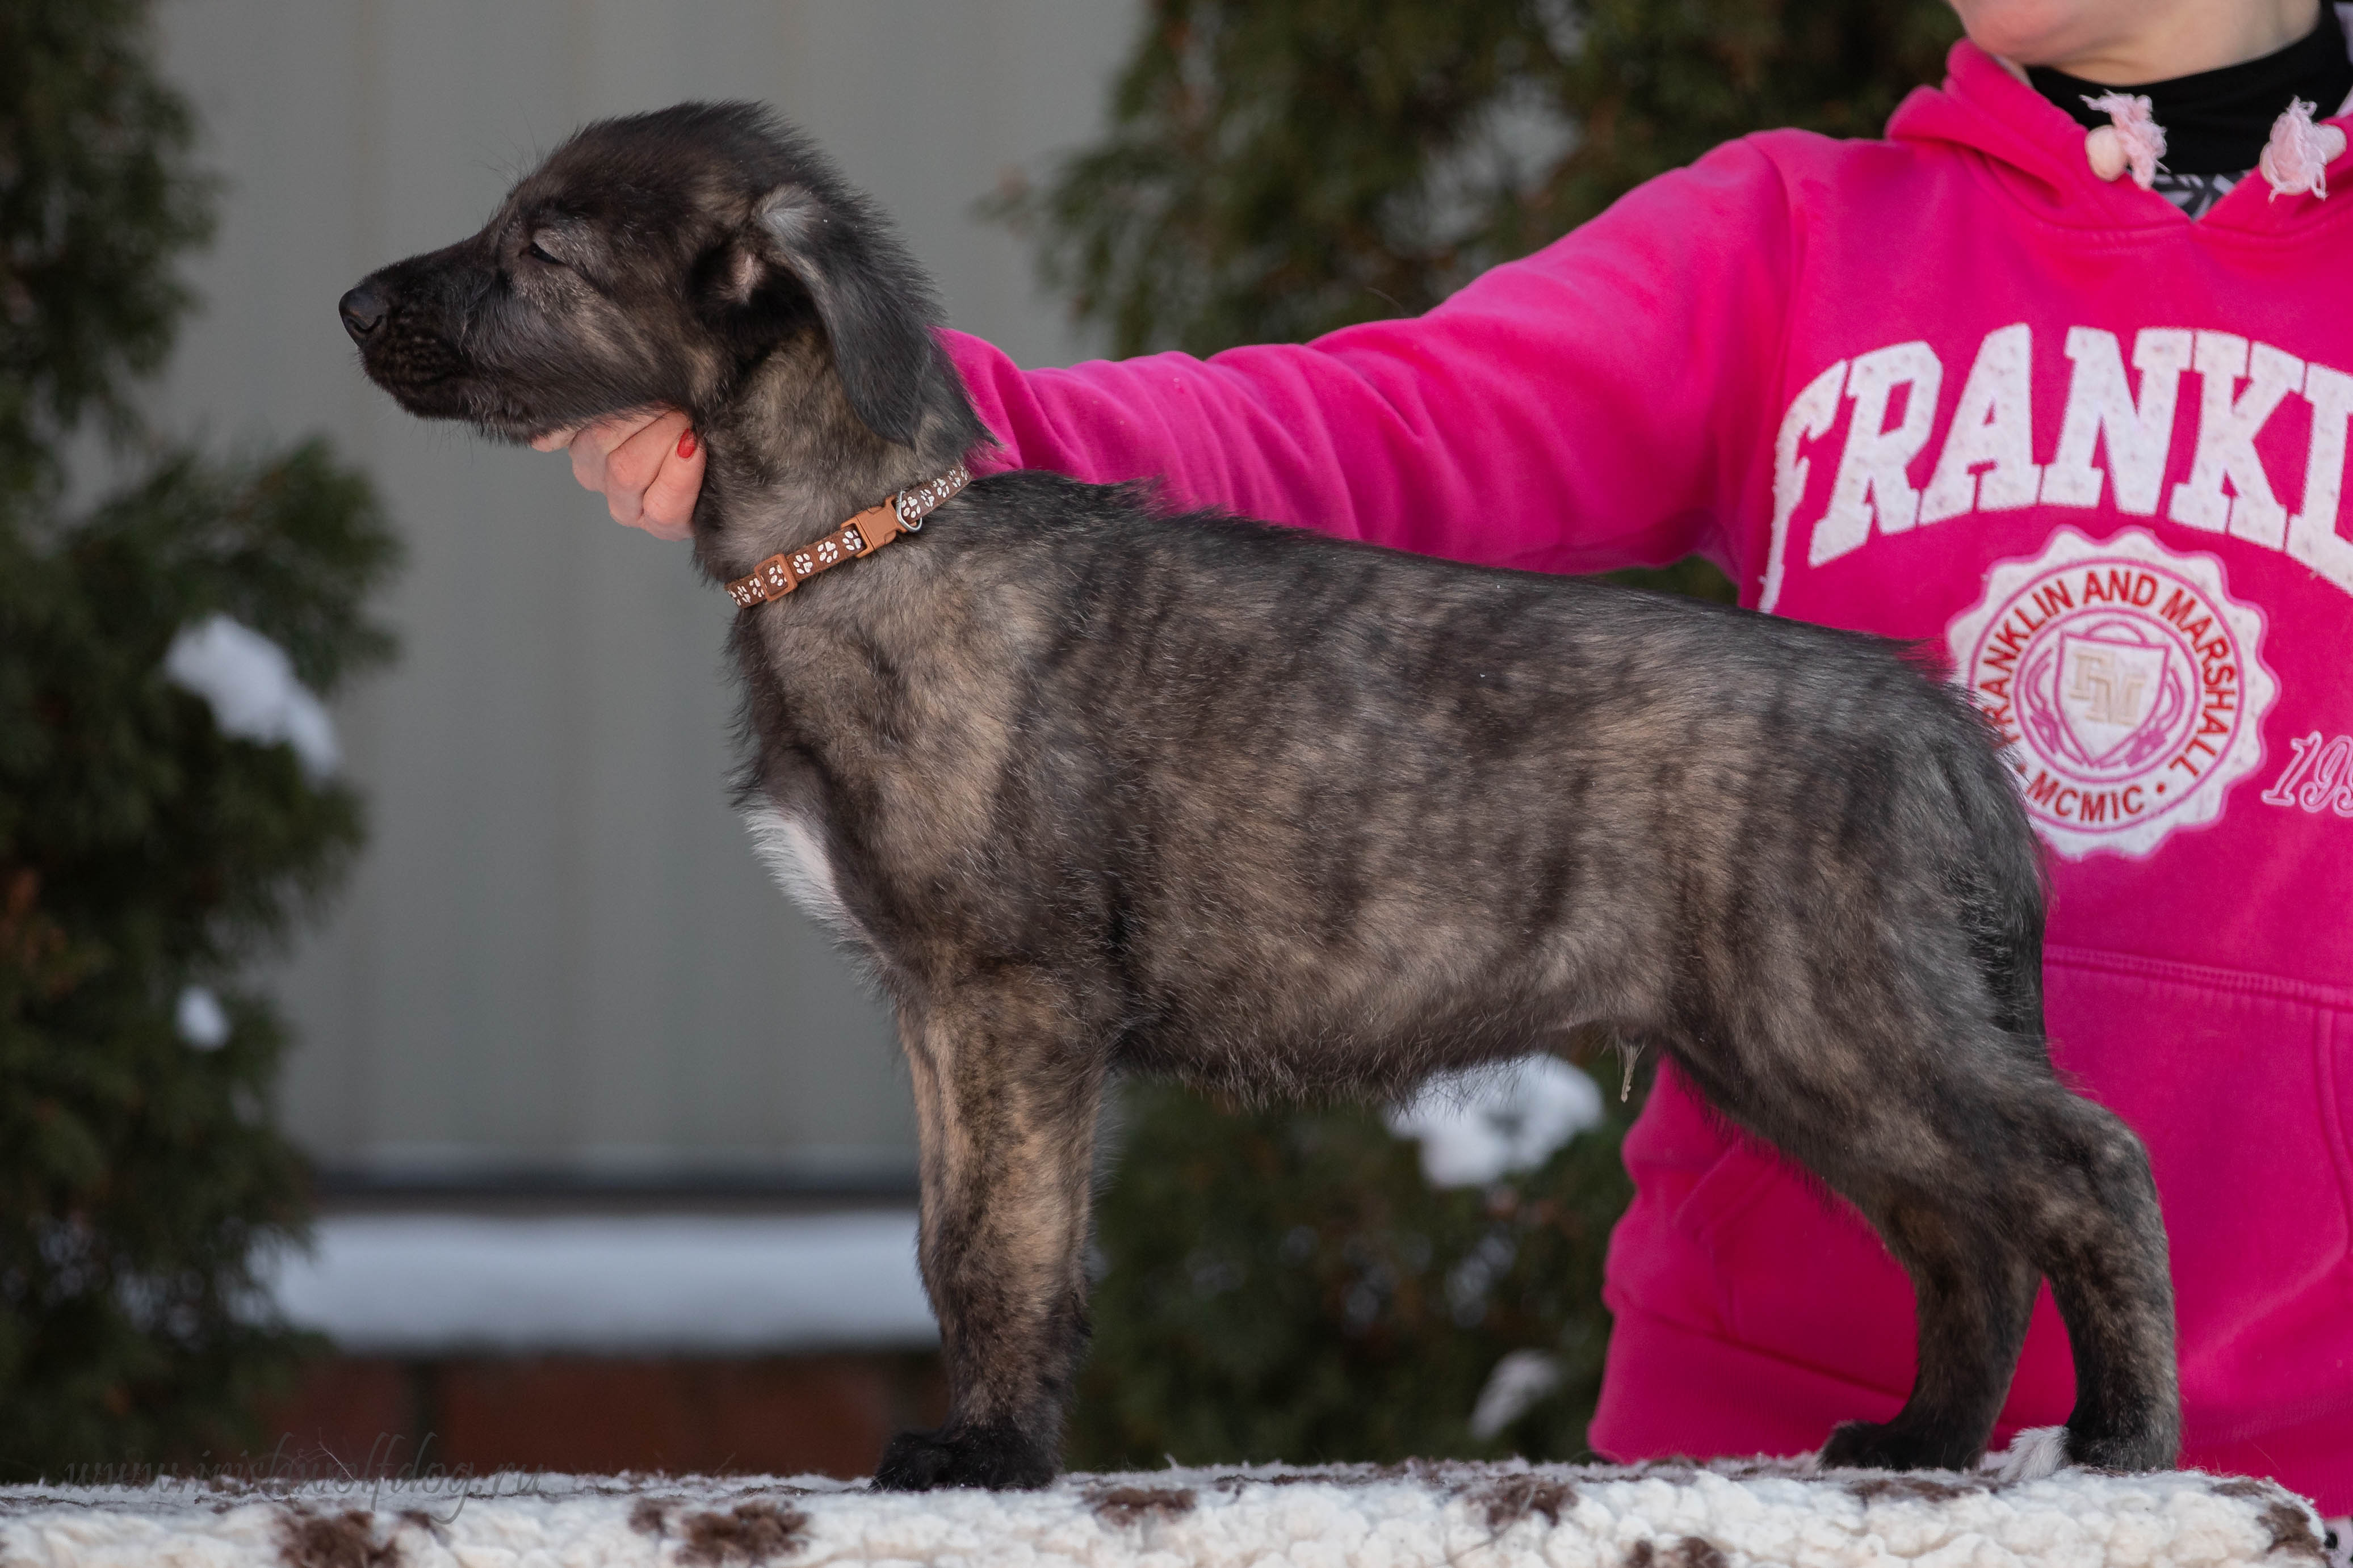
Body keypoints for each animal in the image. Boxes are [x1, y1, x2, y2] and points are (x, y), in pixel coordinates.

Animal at [341, 101, 2174, 1495]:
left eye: (541, 250)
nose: (355, 307)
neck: (864, 539)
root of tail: (1936, 722)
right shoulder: (934, 1004)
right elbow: (943, 1243)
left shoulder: (1012, 995)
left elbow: (1004, 1247)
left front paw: (990, 1458)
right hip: (1786, 1044)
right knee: (1963, 1233)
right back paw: (1925, 1440)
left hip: (1837, 1006)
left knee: (2081, 1168)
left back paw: (2122, 1442)